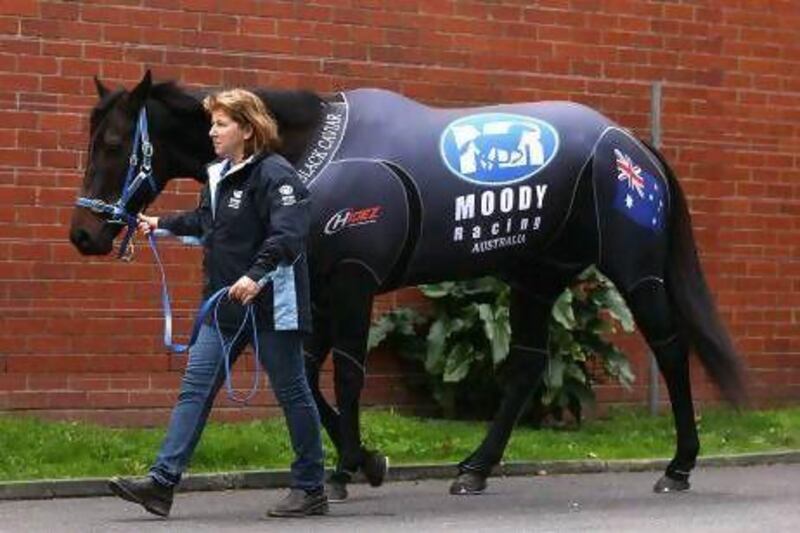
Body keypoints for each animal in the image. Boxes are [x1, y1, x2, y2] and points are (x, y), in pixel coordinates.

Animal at [70, 69, 752, 494]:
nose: (85, 234)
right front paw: (357, 462)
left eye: (114, 142)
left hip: (636, 272)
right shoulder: (314, 284)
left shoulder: (352, 281)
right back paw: (474, 468)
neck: (310, 154)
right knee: (527, 366)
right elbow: (304, 371)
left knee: (670, 349)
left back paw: (680, 465)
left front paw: (354, 464)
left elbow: (344, 373)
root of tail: (633, 146)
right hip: (536, 276)